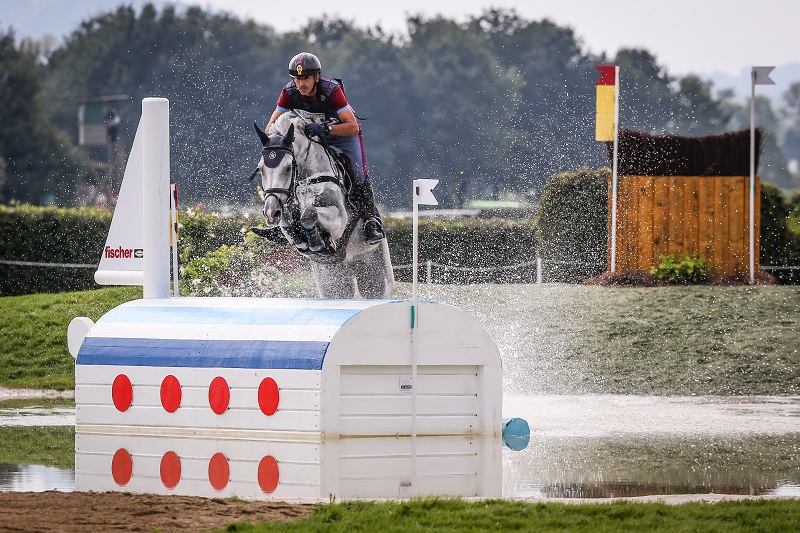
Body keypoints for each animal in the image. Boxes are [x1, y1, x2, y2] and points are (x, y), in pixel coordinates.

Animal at [253, 111, 394, 300]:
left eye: (288, 167)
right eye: (260, 168)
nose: (270, 212)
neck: (306, 178)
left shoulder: (339, 218)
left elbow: (310, 213)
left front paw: (316, 242)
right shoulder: (286, 214)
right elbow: (288, 221)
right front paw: (304, 242)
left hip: (374, 274)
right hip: (333, 280)